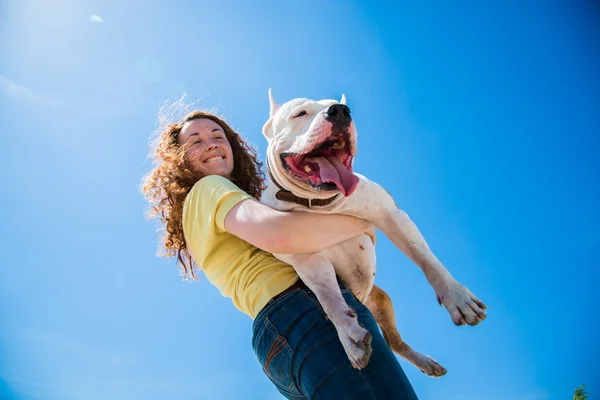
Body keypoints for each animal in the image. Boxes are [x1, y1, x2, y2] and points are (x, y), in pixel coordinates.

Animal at [260, 90, 486, 376]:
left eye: (342, 108)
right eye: (300, 113)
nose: (340, 111)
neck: (321, 204)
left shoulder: (392, 215)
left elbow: (426, 259)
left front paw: (457, 298)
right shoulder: (307, 257)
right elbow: (329, 298)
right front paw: (349, 335)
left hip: (384, 301)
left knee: (396, 342)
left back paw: (425, 360)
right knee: (391, 342)